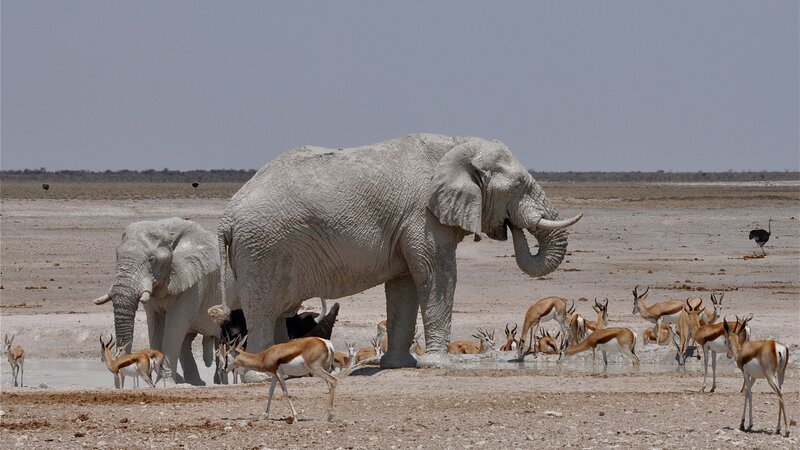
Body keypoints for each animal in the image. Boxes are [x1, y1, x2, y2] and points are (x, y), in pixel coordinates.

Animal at [93, 217, 236, 385]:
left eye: (152, 260)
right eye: (117, 256)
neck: (164, 228)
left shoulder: (195, 281)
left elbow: (175, 325)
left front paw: (164, 383)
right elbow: (155, 326)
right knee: (187, 341)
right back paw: (196, 382)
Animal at [209, 133, 581, 369]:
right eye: (518, 186)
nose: (512, 226)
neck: (457, 144)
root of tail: (226, 218)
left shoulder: (406, 225)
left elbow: (404, 286)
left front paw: (400, 365)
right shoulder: (423, 216)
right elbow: (438, 276)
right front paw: (438, 364)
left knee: (278, 310)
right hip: (262, 250)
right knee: (263, 310)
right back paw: (259, 372)